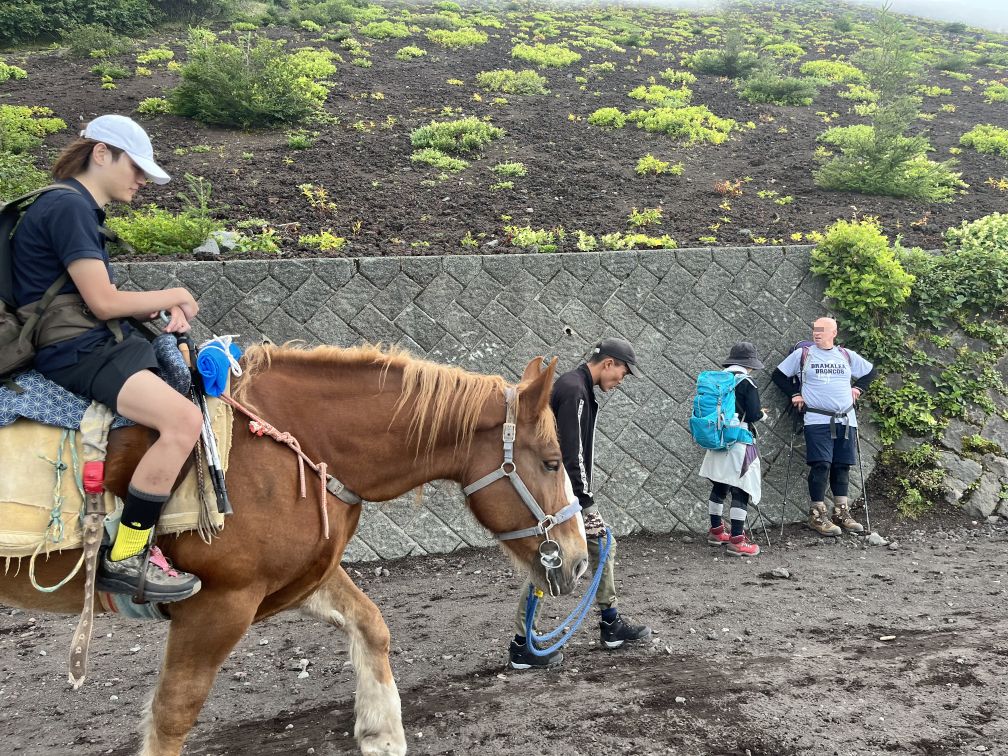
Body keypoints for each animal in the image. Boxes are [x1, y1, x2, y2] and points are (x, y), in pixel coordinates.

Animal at [0, 346, 588, 753]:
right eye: (553, 462)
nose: (580, 559)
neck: (292, 447)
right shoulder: (220, 604)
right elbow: (172, 714)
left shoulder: (298, 579)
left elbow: (371, 625)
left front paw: (381, 733)